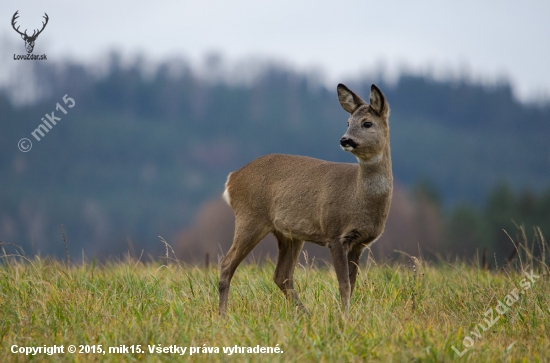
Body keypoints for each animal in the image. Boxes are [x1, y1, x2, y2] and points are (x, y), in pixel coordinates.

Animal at [218, 83, 394, 316]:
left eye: (367, 123)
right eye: (348, 122)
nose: (345, 139)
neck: (358, 196)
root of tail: (232, 179)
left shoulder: (360, 243)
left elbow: (352, 283)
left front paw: (346, 314)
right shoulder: (335, 233)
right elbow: (344, 284)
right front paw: (344, 317)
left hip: (288, 234)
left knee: (282, 275)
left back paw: (306, 314)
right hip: (250, 218)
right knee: (226, 263)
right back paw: (222, 315)